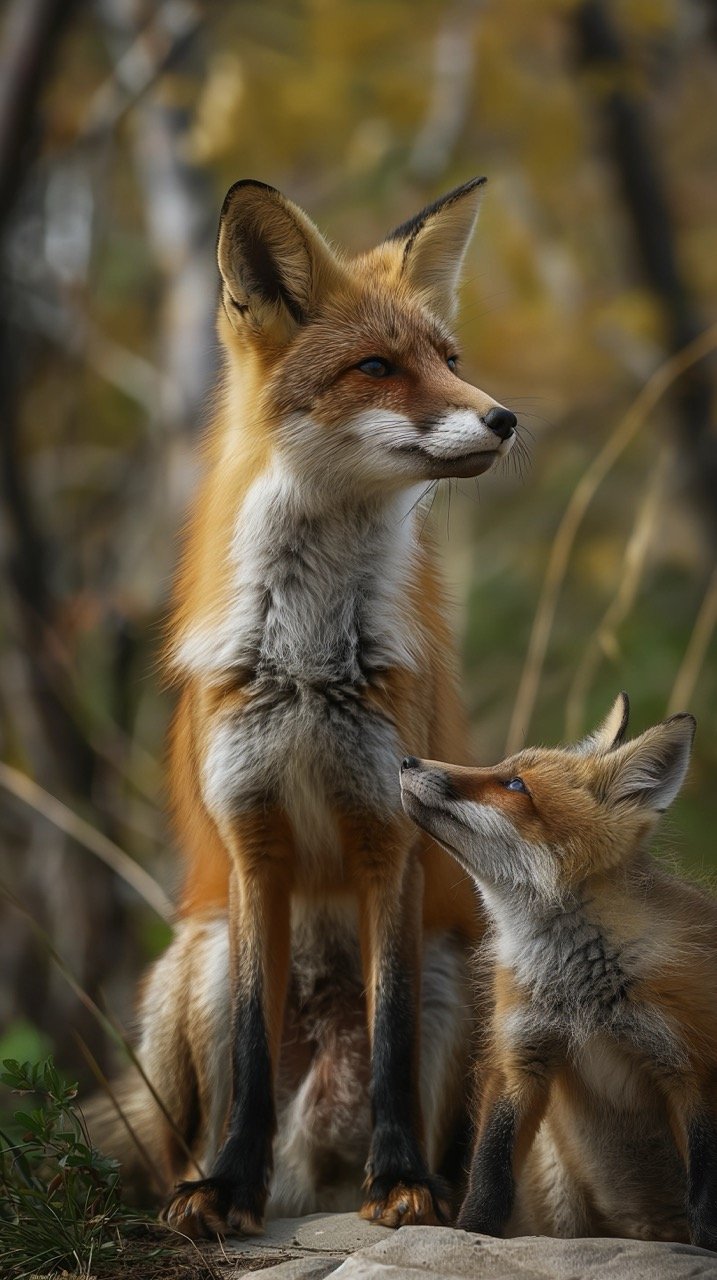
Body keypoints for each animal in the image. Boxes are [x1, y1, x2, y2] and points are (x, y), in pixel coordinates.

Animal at [89, 175, 517, 1233]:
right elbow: (250, 1045)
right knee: (183, 1134)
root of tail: (314, 1151)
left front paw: (400, 1179)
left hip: (462, 970)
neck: (312, 665)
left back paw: (421, 1182)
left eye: (449, 362)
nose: (504, 418)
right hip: (192, 964)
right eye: (376, 368)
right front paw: (226, 1189)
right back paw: (213, 1177)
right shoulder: (253, 841)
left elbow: (393, 1038)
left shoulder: (389, 834)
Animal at [396, 701, 717, 1249]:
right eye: (502, 767)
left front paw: (708, 1244)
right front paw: (471, 1235)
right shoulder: (520, 1056)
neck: (580, 991)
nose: (406, 760)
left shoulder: (693, 1066)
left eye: (515, 785)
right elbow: (490, 1170)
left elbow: (706, 1189)